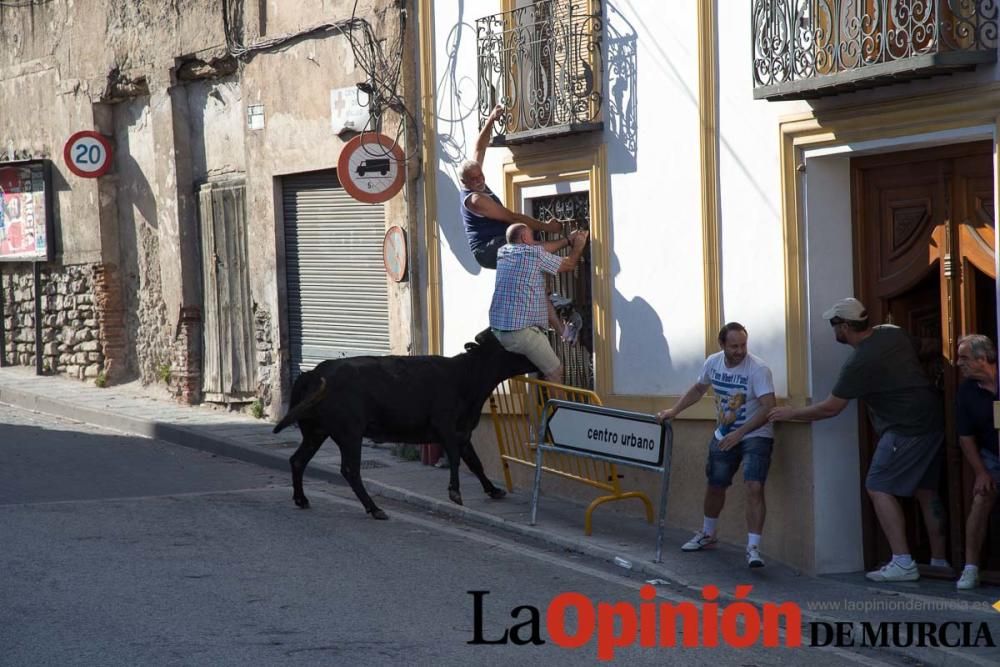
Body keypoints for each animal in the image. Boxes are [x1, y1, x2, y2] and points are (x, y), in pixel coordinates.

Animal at [272, 332, 540, 520]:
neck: (467, 376)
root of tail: (313, 373)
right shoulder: (445, 425)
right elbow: (455, 458)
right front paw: (455, 493)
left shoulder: (463, 431)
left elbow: (475, 462)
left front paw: (493, 490)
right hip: (349, 433)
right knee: (350, 470)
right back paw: (375, 509)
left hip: (316, 431)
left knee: (298, 460)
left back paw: (301, 499)